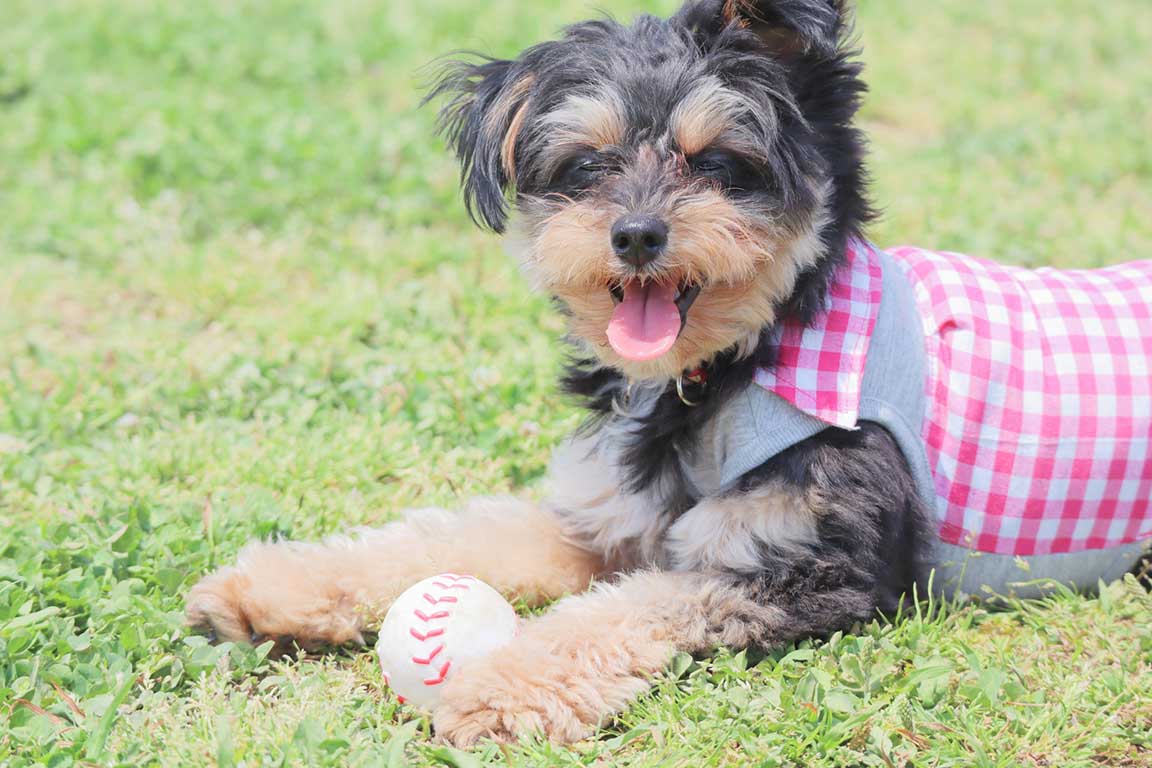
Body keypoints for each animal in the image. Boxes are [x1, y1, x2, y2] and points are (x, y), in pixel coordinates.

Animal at [188, 0, 1152, 746]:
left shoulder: (803, 568)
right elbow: (451, 539)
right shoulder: (607, 516)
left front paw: (497, 687)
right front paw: (273, 589)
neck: (732, 367)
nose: (637, 234)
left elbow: (619, 610)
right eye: (588, 165)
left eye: (720, 162)